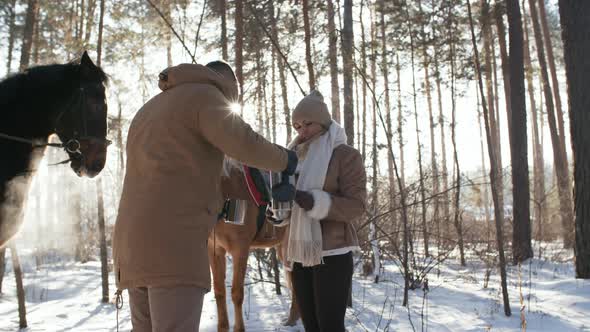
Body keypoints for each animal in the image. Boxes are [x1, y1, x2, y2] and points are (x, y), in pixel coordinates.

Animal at [209, 166, 300, 332]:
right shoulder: (215, 250)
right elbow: (219, 291)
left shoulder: (240, 249)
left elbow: (237, 293)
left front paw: (239, 328)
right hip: (284, 248)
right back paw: (291, 320)